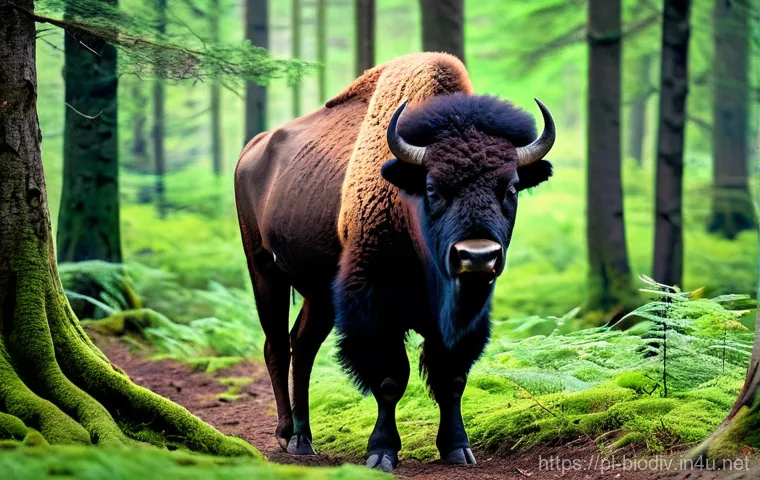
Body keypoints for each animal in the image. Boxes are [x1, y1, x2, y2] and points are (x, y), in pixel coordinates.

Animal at [235, 52, 555, 472]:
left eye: (512, 188)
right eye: (433, 188)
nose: (477, 256)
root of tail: (250, 151)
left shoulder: (465, 314)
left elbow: (451, 377)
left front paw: (457, 449)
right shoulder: (374, 304)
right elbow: (389, 379)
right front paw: (381, 452)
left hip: (319, 295)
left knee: (301, 348)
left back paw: (304, 438)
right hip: (264, 271)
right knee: (276, 347)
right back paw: (287, 435)